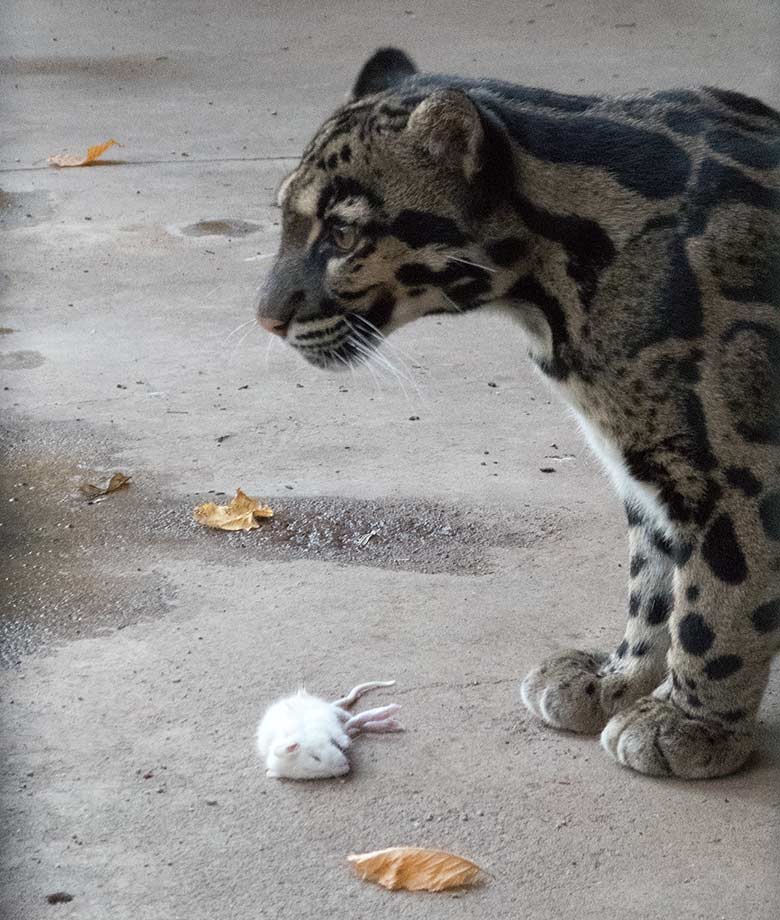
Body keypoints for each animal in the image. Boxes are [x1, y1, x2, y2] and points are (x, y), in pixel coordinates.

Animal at [258, 48, 780, 776]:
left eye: (341, 232)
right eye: (283, 218)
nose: (266, 319)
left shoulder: (741, 471)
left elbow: (720, 598)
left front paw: (692, 722)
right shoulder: (646, 462)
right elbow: (653, 577)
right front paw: (618, 677)